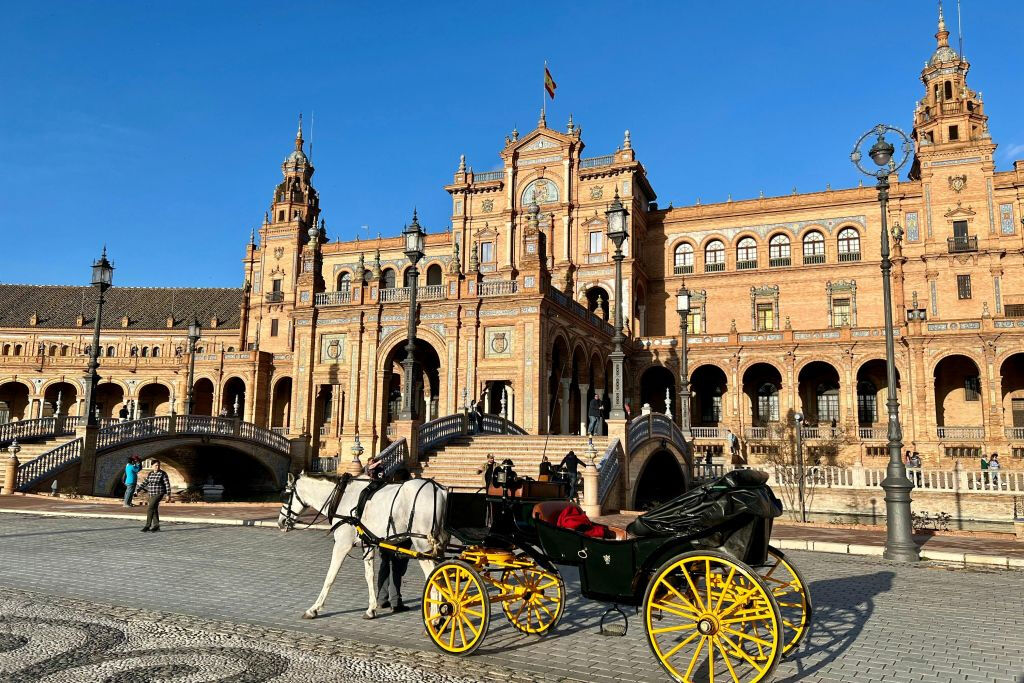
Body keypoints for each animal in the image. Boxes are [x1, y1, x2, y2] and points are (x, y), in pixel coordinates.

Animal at [278, 473, 446, 622]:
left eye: (286, 496)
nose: (280, 522)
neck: (341, 497)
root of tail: (439, 490)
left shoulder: (342, 545)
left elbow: (330, 576)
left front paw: (314, 609)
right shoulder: (368, 544)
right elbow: (369, 576)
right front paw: (371, 609)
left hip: (422, 546)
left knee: (434, 578)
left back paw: (435, 619)